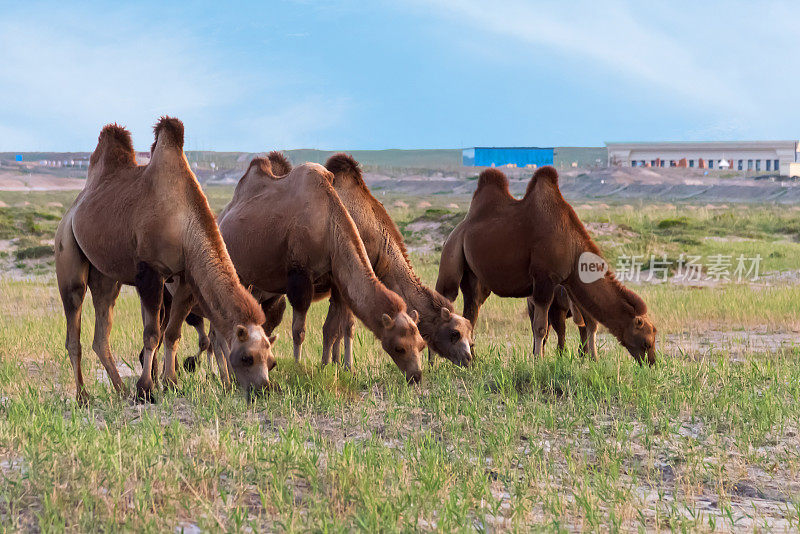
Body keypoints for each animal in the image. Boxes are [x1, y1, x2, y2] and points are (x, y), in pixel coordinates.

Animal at [55, 116, 278, 402]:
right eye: (247, 358)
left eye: (271, 362)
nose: (264, 390)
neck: (183, 222)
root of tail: (75, 206)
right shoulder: (150, 272)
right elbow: (152, 334)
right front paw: (145, 390)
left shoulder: (185, 278)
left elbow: (172, 334)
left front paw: (170, 383)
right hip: (67, 251)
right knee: (74, 321)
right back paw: (83, 397)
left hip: (106, 277)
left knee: (101, 333)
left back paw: (120, 390)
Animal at [216, 157, 428, 384]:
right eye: (399, 348)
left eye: (421, 344)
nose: (416, 375)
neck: (329, 224)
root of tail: (221, 218)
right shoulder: (299, 275)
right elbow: (299, 331)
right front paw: (298, 368)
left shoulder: (335, 276)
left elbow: (333, 328)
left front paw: (331, 367)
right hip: (237, 269)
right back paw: (227, 375)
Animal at [438, 168, 656, 366]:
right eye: (647, 342)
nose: (652, 363)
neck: (573, 247)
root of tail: (460, 226)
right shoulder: (544, 278)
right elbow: (541, 327)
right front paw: (538, 361)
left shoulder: (569, 282)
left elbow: (588, 322)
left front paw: (592, 359)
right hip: (451, 253)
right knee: (446, 296)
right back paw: (437, 363)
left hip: (475, 276)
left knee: (472, 310)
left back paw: (473, 360)